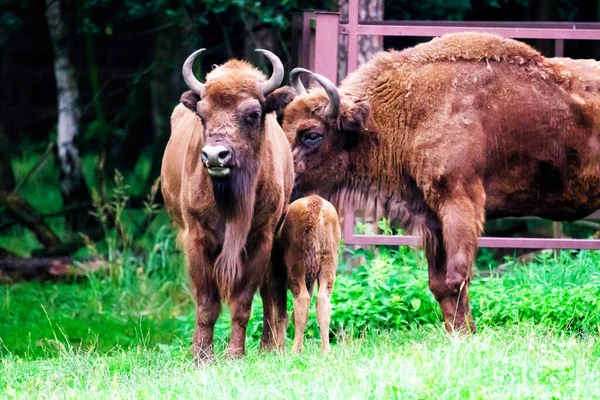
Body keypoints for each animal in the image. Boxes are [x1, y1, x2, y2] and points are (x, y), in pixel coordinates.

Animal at [162, 48, 296, 360]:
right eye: (202, 114)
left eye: (253, 114)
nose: (214, 156)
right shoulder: (196, 239)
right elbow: (206, 305)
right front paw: (202, 357)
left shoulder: (260, 239)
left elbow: (243, 302)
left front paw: (235, 354)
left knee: (270, 291)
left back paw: (269, 348)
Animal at [276, 31, 600, 332]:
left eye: (312, 135)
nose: (285, 182)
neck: (407, 110)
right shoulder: (433, 219)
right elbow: (440, 285)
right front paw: (462, 334)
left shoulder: (460, 203)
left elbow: (457, 277)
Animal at [276, 194, 340, 354]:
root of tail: (314, 200)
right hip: (328, 264)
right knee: (323, 301)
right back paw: (325, 351)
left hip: (297, 268)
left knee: (302, 300)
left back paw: (293, 352)